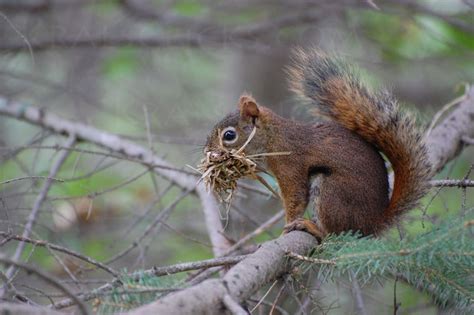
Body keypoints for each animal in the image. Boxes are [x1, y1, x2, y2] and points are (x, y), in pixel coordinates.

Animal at [202, 48, 432, 239]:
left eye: (229, 135)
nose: (207, 151)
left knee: (334, 232)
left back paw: (313, 227)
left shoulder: (290, 165)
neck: (272, 138)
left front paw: (287, 227)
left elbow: (295, 198)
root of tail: (372, 224)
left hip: (333, 193)